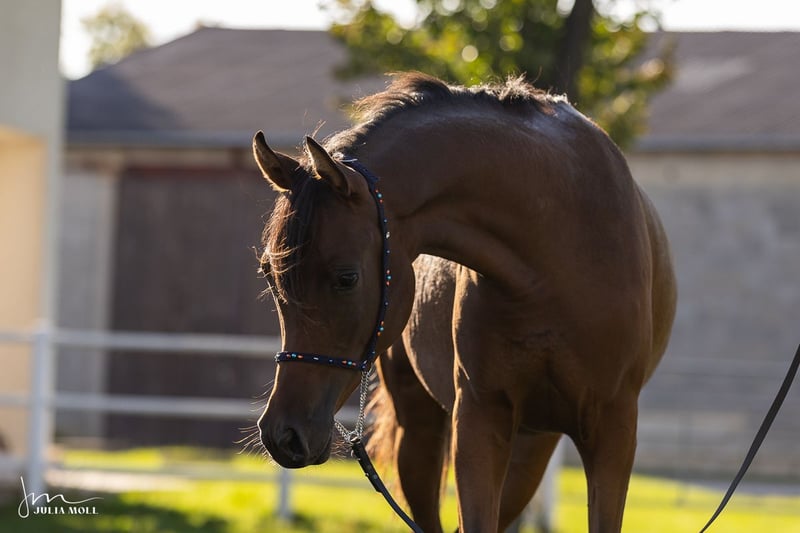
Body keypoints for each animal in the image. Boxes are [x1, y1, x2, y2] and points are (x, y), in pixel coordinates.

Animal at [254, 73, 677, 532]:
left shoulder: (613, 430)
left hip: (532, 445)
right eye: (269, 275)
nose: (283, 435)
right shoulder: (478, 419)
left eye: (346, 277)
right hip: (425, 432)